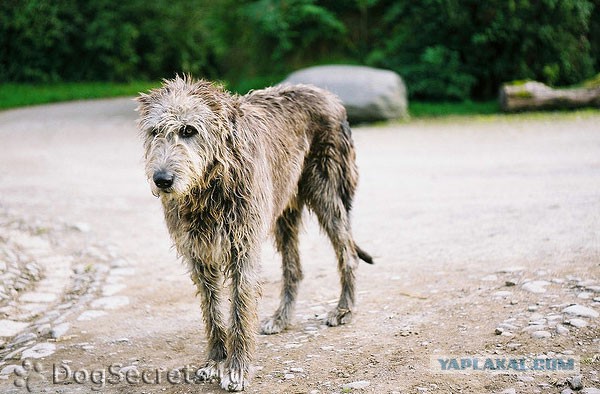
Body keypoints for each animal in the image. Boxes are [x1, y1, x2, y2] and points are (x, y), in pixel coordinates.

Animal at [137, 76, 370, 390]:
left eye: (189, 130)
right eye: (154, 132)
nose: (162, 180)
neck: (211, 185)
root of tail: (328, 95)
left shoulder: (242, 247)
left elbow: (240, 311)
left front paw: (236, 369)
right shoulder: (199, 255)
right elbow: (212, 311)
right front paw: (215, 362)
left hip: (328, 195)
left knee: (348, 253)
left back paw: (344, 310)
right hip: (284, 212)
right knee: (294, 268)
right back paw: (281, 318)